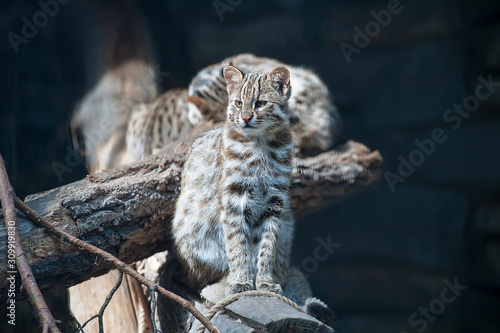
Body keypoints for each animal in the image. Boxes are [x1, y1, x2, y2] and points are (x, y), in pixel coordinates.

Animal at [174, 65, 294, 296]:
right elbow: (237, 244)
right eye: (238, 103)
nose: (245, 118)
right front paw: (241, 281)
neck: (260, 144)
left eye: (260, 103)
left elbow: (267, 246)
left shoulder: (275, 201)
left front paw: (265, 281)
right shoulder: (234, 198)